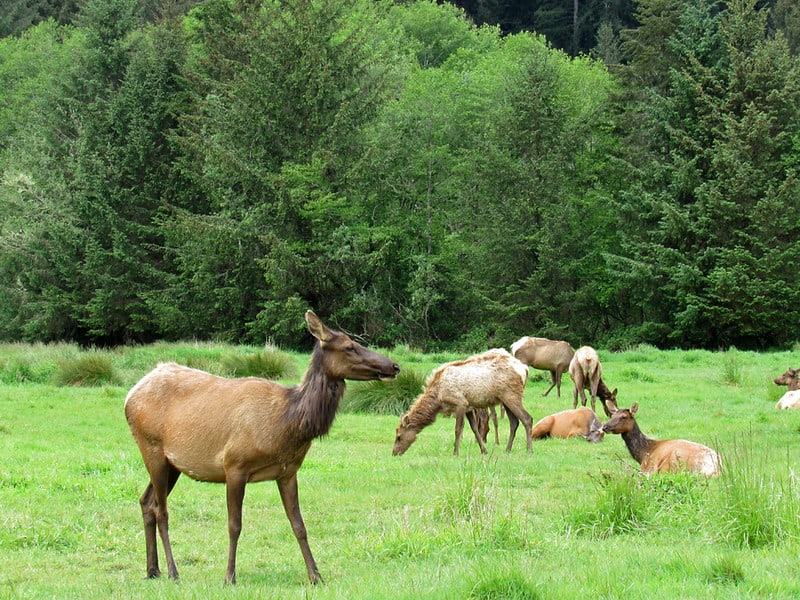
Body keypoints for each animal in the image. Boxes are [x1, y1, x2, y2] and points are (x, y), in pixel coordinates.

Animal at [125, 312, 400, 584]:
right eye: (349, 347)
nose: (394, 366)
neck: (287, 424)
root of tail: (130, 395)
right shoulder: (234, 465)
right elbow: (234, 525)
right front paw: (229, 577)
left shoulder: (288, 472)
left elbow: (299, 525)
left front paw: (315, 575)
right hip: (151, 447)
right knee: (162, 510)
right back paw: (173, 572)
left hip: (173, 464)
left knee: (146, 501)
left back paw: (152, 570)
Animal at [392, 346, 536, 454]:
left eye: (399, 437)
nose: (394, 453)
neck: (438, 398)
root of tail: (525, 369)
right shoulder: (469, 407)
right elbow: (475, 429)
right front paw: (484, 450)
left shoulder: (460, 403)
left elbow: (458, 429)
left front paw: (455, 452)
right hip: (505, 399)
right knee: (514, 422)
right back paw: (507, 449)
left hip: (511, 395)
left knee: (527, 418)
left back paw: (529, 450)